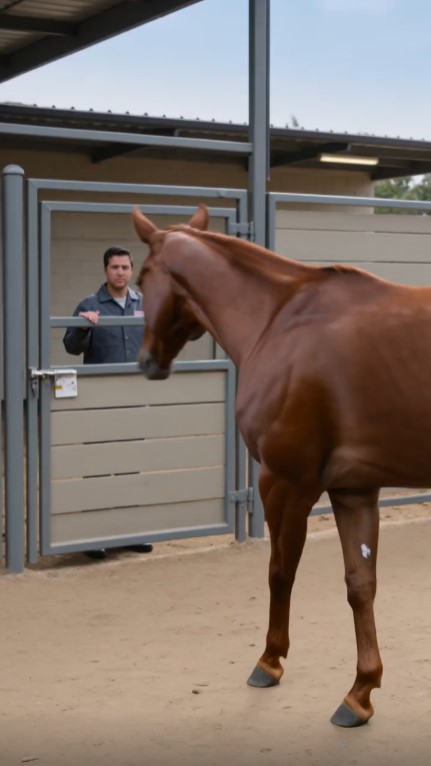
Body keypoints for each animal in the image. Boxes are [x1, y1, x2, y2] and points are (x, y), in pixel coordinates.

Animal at [131, 202, 431, 728]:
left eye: (143, 275)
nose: (148, 361)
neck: (279, 321)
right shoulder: (354, 490)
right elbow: (361, 584)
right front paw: (360, 692)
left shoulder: (285, 482)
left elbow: (279, 570)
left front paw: (269, 662)